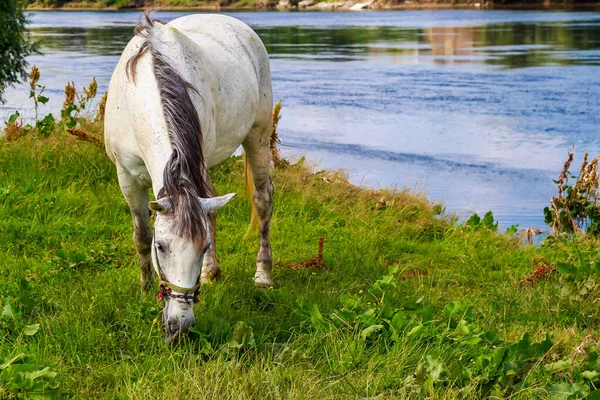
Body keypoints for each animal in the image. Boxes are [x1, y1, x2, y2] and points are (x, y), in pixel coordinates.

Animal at [105, 10, 274, 340]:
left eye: (203, 246)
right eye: (161, 247)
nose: (179, 326)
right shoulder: (127, 178)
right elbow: (141, 235)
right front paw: (144, 289)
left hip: (257, 137)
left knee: (263, 201)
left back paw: (262, 274)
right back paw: (212, 273)